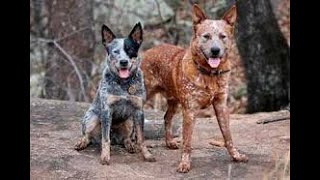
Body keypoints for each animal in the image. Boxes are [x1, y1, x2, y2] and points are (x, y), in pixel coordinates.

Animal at [74, 22, 156, 165]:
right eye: (115, 51)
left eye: (130, 49)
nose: (123, 62)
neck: (123, 84)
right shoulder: (107, 110)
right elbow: (105, 139)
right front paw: (105, 157)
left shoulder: (138, 110)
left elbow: (141, 138)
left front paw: (146, 155)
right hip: (92, 118)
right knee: (88, 135)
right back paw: (82, 142)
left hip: (129, 121)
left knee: (126, 139)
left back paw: (130, 145)